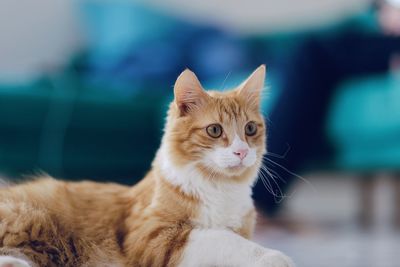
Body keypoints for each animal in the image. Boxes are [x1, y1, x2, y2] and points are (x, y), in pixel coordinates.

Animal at [0, 65, 294, 267]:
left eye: (250, 129)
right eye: (214, 130)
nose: (242, 151)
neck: (221, 190)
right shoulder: (153, 236)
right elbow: (223, 239)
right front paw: (276, 258)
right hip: (28, 218)